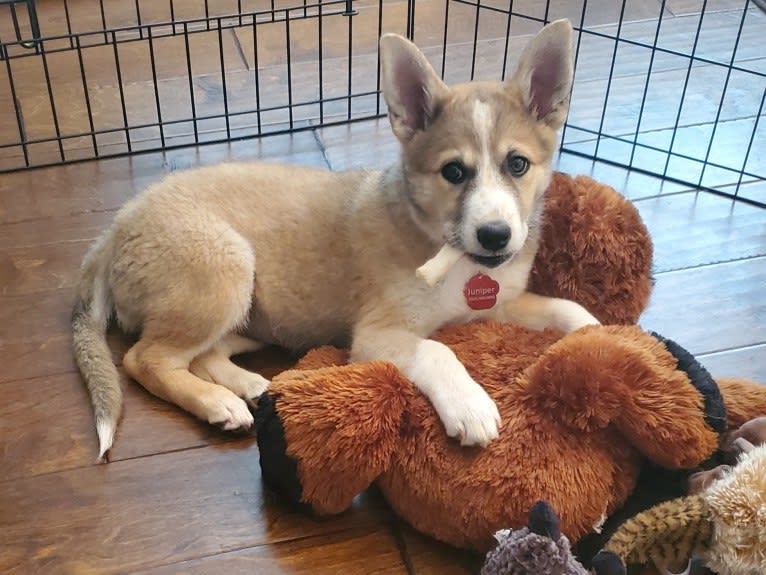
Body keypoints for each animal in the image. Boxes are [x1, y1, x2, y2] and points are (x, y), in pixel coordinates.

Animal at [73, 19, 600, 460]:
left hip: (251, 316)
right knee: (144, 359)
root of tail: (116, 228)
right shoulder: (376, 334)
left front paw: (602, 336)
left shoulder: (498, 302)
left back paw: (245, 388)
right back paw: (215, 403)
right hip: (225, 270)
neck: (453, 257)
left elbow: (564, 308)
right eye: (454, 171)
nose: (495, 236)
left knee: (202, 353)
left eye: (518, 164)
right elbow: (438, 350)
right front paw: (469, 405)